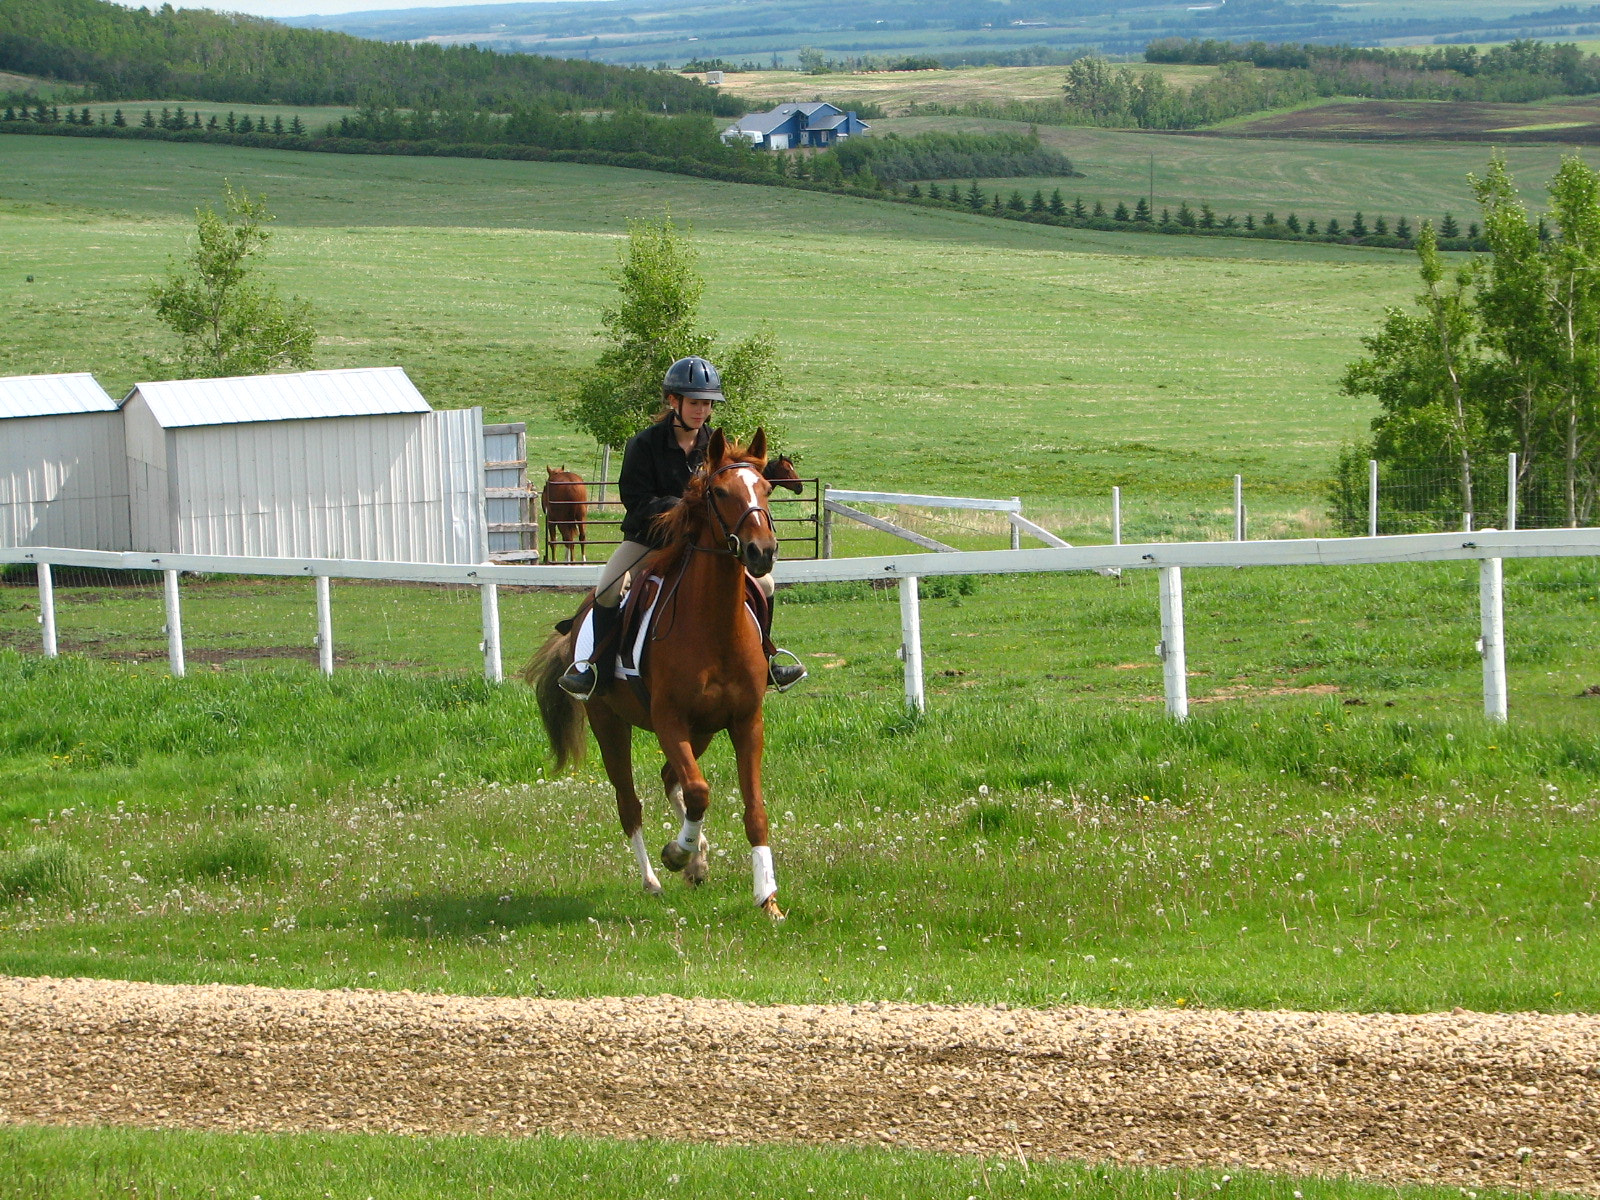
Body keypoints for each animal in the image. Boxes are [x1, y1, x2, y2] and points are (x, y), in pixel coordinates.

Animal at [528, 428, 784, 921]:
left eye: (765, 489)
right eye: (719, 492)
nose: (762, 552)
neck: (714, 626)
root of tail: (577, 618)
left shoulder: (746, 721)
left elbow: (753, 809)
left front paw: (767, 898)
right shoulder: (669, 721)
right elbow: (699, 791)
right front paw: (676, 854)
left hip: (702, 731)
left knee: (671, 779)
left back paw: (698, 859)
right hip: (611, 725)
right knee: (631, 802)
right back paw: (655, 878)